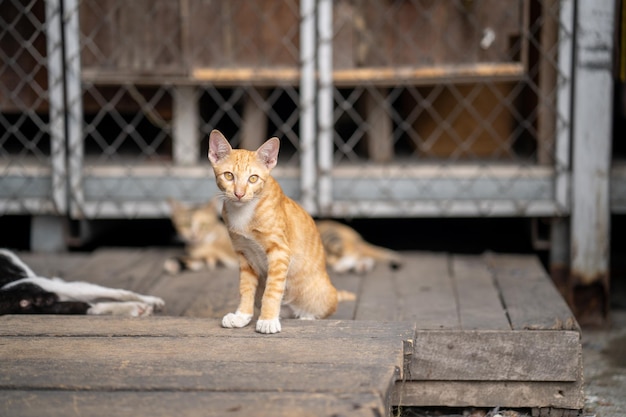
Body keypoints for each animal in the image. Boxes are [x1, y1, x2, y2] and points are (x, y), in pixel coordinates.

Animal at [207, 130, 354, 334]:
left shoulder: (280, 252)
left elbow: (272, 290)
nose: (239, 194)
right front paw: (242, 316)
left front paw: (268, 319)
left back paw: (305, 317)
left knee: (322, 309)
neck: (243, 212)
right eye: (229, 176)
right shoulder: (244, 254)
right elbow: (245, 288)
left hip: (319, 294)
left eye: (253, 178)